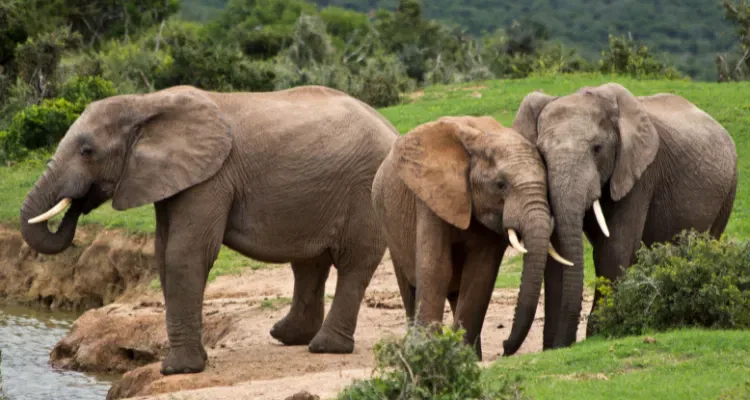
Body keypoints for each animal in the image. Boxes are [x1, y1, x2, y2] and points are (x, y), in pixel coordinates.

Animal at [20, 84, 400, 375]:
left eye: (88, 151)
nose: (77, 202)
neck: (147, 102)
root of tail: (393, 130)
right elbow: (163, 253)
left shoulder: (211, 178)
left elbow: (184, 254)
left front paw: (177, 370)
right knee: (309, 262)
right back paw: (288, 336)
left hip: (365, 187)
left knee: (353, 263)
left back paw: (324, 348)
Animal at [371, 115, 572, 359]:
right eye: (500, 185)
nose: (505, 346)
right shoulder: (431, 197)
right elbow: (437, 268)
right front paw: (428, 351)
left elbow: (480, 273)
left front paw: (462, 355)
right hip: (387, 220)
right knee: (408, 285)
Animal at [504, 82, 737, 353]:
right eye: (541, 153)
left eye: (597, 149)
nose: (505, 345)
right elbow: (559, 255)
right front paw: (553, 348)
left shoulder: (640, 174)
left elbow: (614, 248)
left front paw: (600, 333)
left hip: (729, 191)